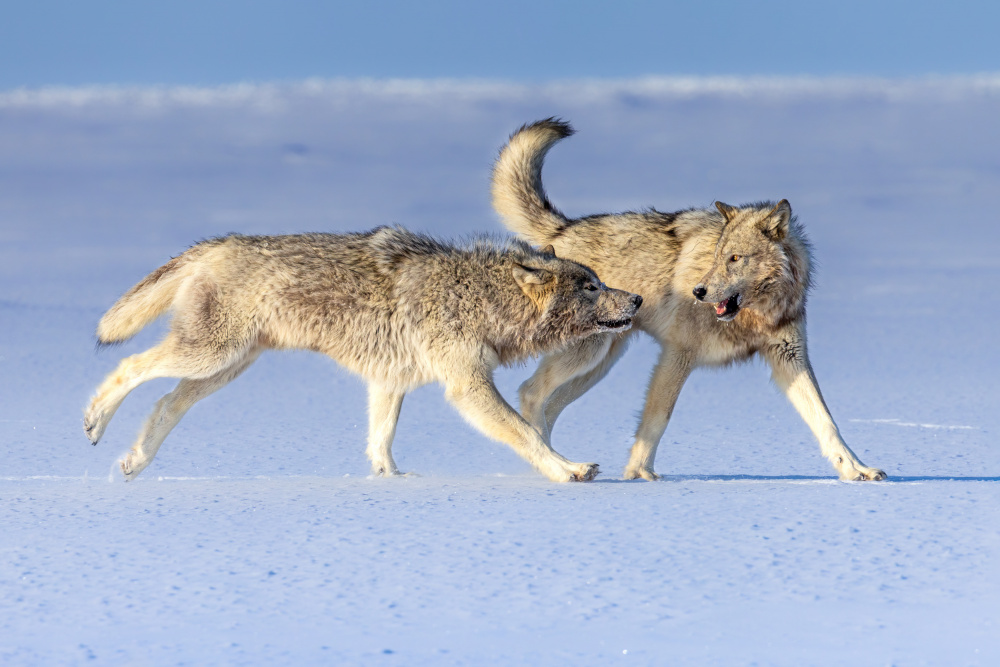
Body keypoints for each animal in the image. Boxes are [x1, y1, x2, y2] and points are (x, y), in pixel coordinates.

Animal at [84, 227, 640, 482]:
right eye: (591, 287)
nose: (635, 299)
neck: (480, 296)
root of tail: (216, 243)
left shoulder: (390, 380)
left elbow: (381, 443)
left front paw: (390, 484)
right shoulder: (466, 386)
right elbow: (527, 433)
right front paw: (567, 469)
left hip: (226, 367)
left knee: (165, 403)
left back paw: (134, 461)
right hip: (210, 355)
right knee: (128, 367)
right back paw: (95, 420)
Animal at [488, 120, 888, 482]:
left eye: (734, 259)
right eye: (717, 257)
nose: (698, 292)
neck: (756, 315)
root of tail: (564, 228)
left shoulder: (789, 356)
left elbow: (827, 422)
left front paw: (856, 470)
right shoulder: (677, 355)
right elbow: (657, 419)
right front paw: (640, 475)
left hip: (599, 363)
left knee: (548, 403)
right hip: (587, 355)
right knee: (530, 393)